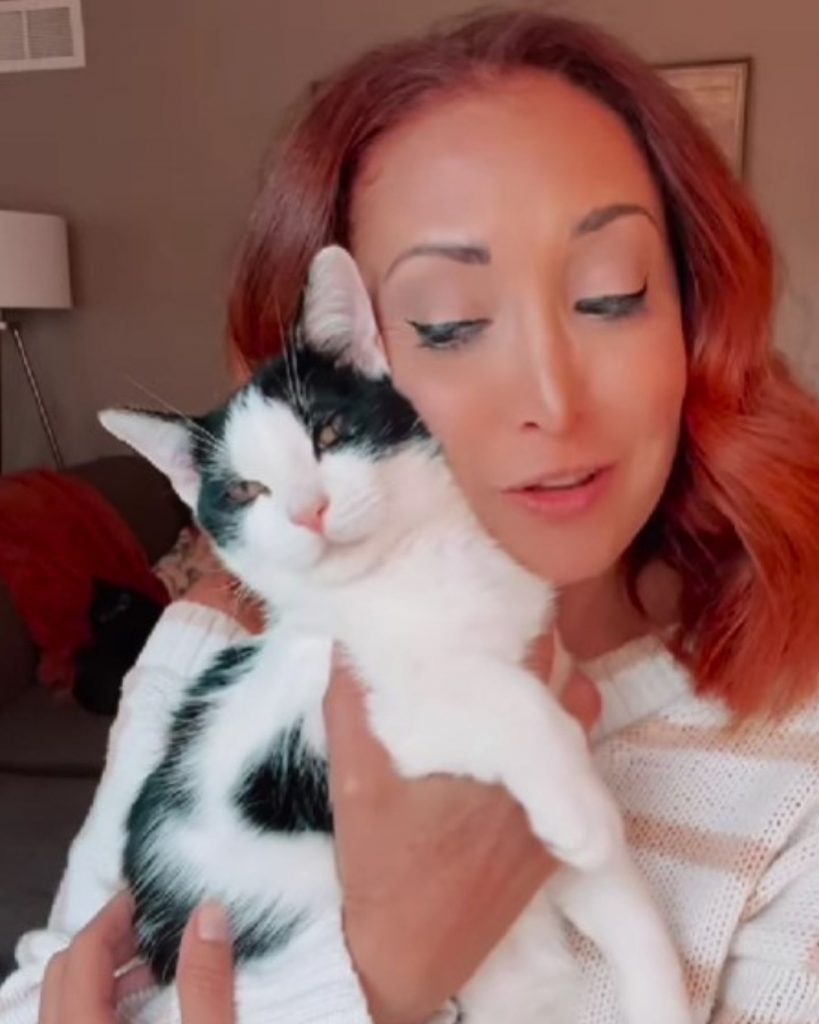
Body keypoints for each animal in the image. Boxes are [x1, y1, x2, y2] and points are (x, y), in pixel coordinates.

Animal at [100, 245, 692, 1024]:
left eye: (328, 433)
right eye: (245, 492)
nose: (308, 510)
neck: (410, 568)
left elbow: (619, 900)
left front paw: (662, 991)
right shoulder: (375, 712)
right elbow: (498, 695)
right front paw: (581, 806)